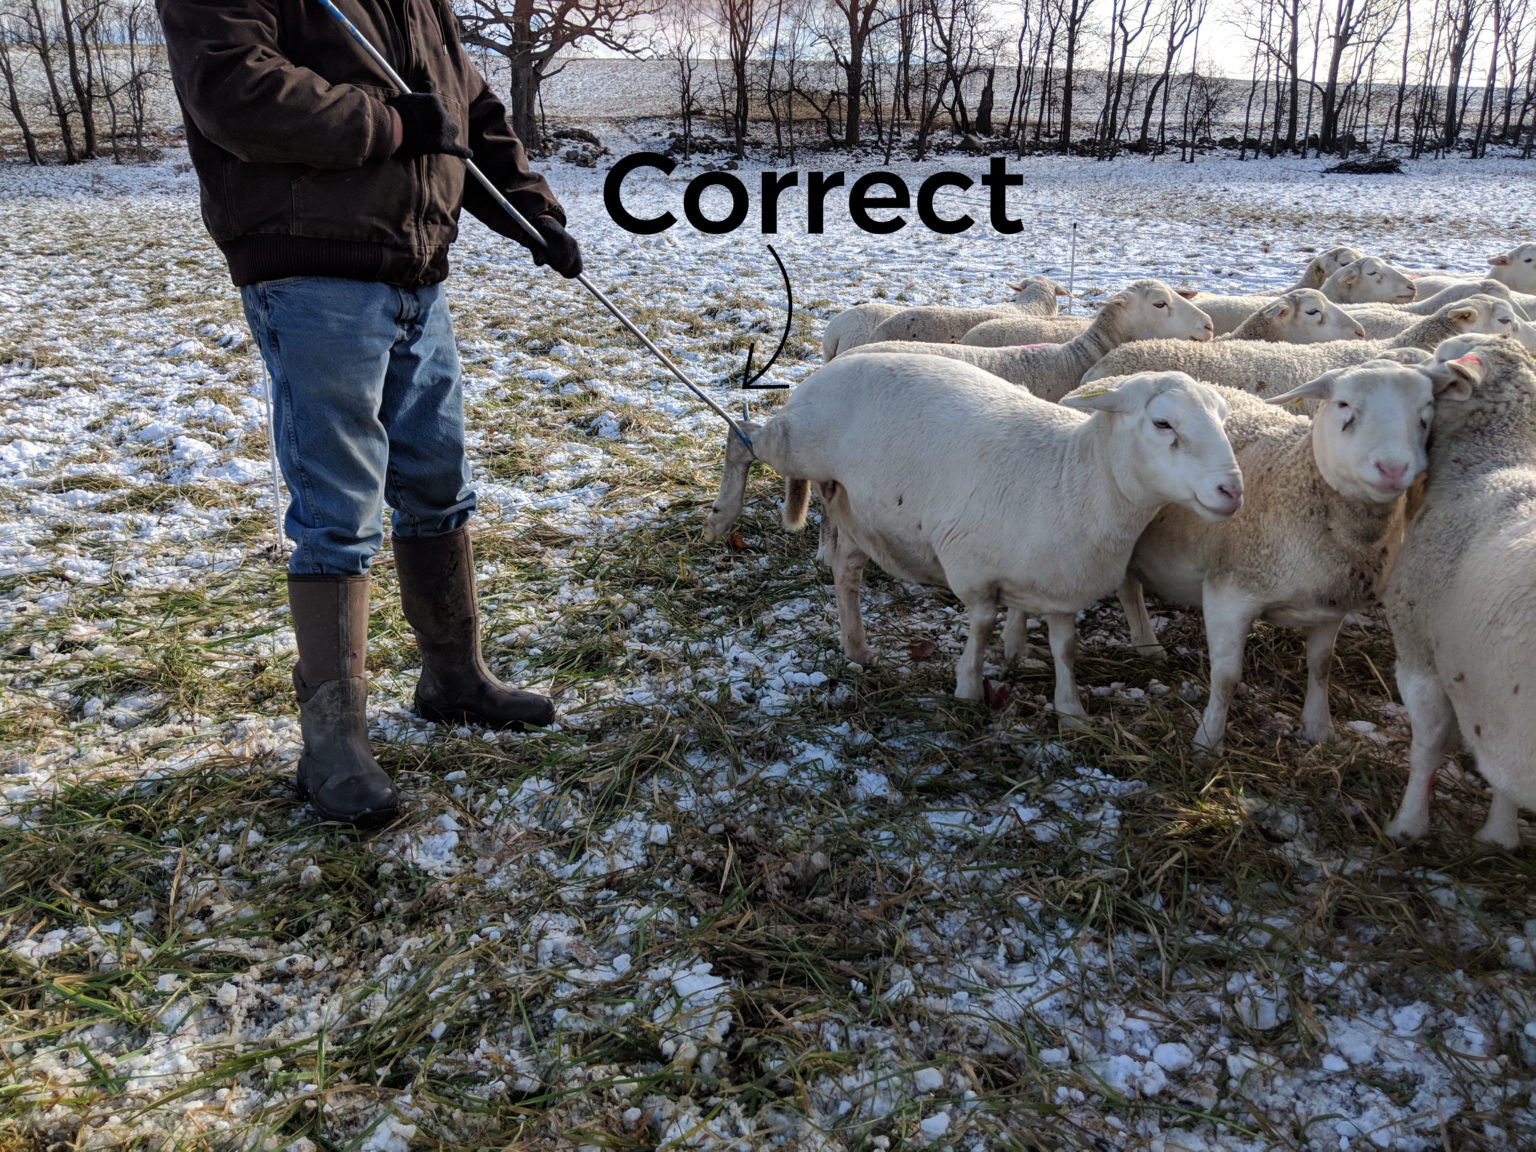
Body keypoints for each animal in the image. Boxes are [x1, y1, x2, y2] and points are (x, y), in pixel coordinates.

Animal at [701, 356, 1244, 718]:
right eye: (1163, 423)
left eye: (1222, 421)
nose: (1233, 490)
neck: (1074, 475)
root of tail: (828, 367)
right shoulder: (971, 566)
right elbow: (982, 624)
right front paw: (967, 688)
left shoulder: (1061, 588)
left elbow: (1065, 647)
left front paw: (1071, 710)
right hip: (800, 443)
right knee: (742, 436)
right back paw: (720, 517)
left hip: (858, 507)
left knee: (846, 572)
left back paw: (856, 648)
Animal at [1104, 358, 1434, 752]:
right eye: (1343, 405)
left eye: (1426, 411)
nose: (1393, 469)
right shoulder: (1229, 593)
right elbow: (1226, 678)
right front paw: (1208, 741)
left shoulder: (1330, 605)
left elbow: (1321, 666)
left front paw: (1318, 729)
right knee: (1128, 588)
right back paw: (1148, 645)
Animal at [1380, 334, 1536, 849]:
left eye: (1440, 355)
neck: (1498, 458)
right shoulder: (1491, 695)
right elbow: (1500, 771)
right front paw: (1499, 836)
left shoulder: (1420, 652)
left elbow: (1427, 749)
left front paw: (1407, 826)